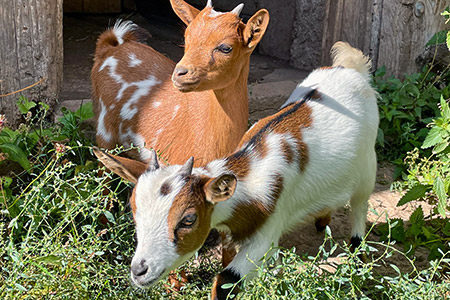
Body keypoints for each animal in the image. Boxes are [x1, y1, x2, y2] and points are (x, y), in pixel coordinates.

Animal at [94, 41, 380, 298]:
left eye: (188, 219)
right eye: (134, 210)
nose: (140, 270)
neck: (250, 178)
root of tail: (350, 68)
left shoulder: (267, 233)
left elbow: (225, 282)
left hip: (368, 165)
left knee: (359, 207)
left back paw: (359, 260)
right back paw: (322, 220)